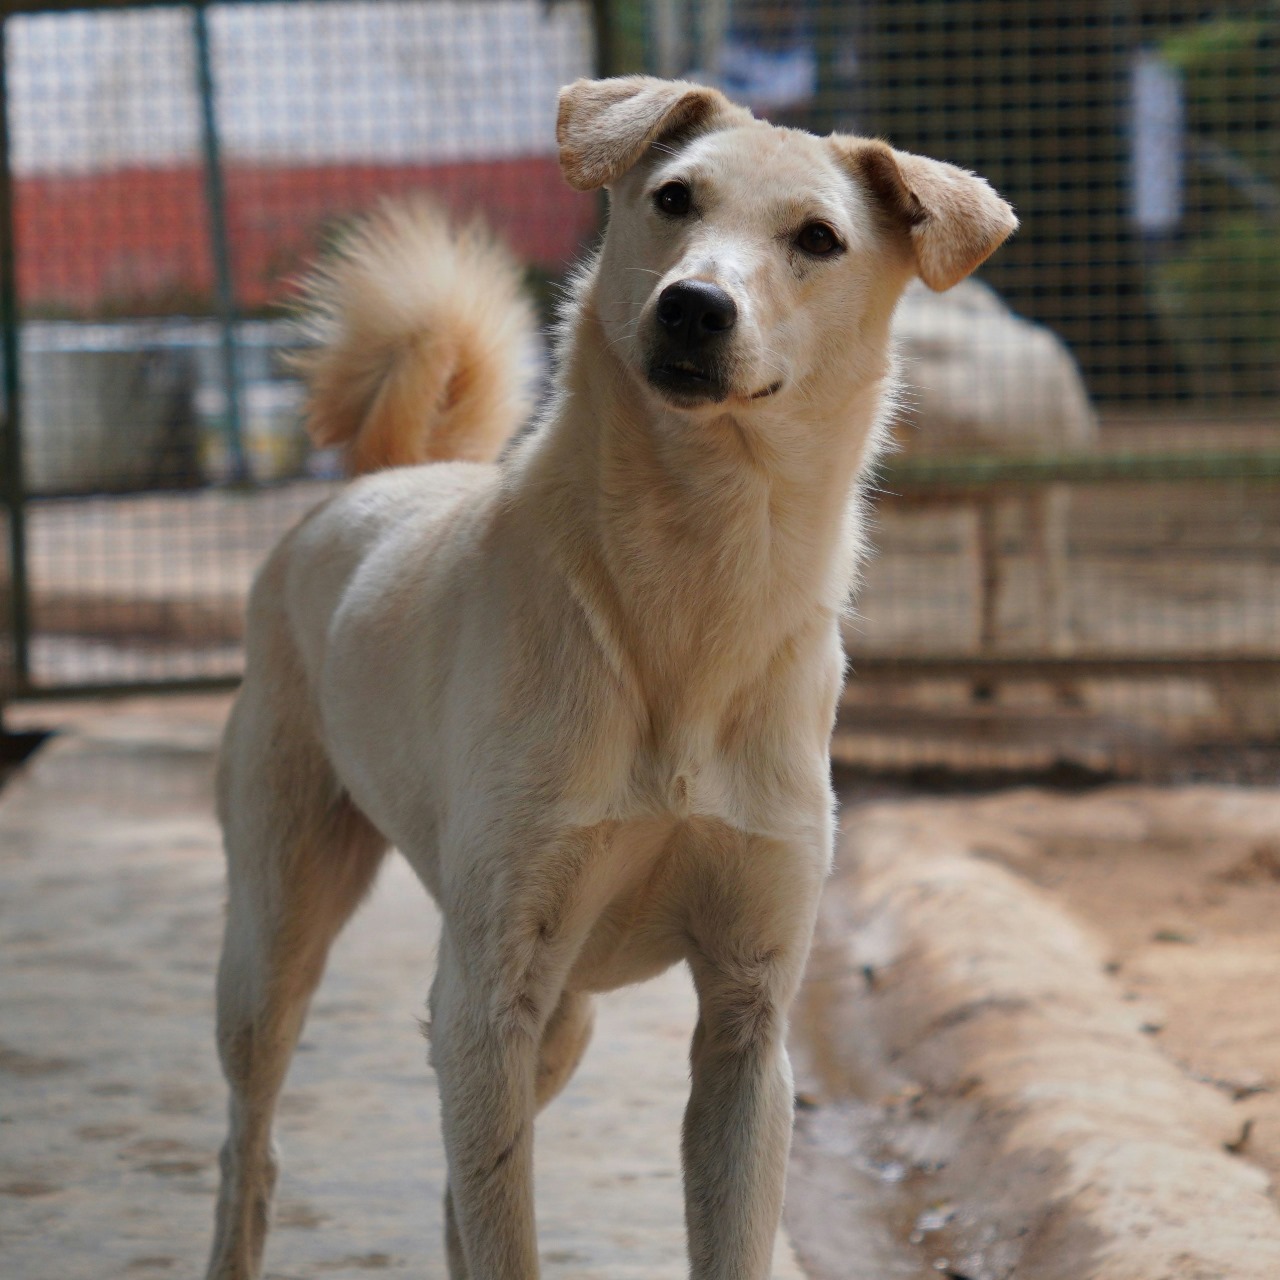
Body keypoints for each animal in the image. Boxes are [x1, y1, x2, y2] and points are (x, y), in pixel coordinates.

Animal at [205, 75, 1015, 1280]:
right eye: (673, 198)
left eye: (817, 239)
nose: (694, 307)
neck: (691, 588)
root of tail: (379, 479)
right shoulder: (486, 996)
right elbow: (504, 1235)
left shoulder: (745, 1019)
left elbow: (718, 1234)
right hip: (278, 941)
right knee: (251, 1150)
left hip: (562, 1017)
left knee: (451, 1190)